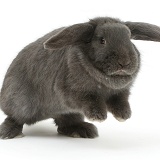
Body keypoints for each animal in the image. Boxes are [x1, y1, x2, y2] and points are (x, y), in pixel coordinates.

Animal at [0, 16, 160, 139]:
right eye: (102, 40)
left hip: (69, 113)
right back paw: (8, 133)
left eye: (129, 39)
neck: (105, 81)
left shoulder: (121, 93)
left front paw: (124, 115)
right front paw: (99, 116)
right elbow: (89, 99)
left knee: (65, 122)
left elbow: (120, 102)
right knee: (14, 118)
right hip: (22, 104)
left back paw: (84, 130)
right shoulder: (72, 92)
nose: (124, 62)